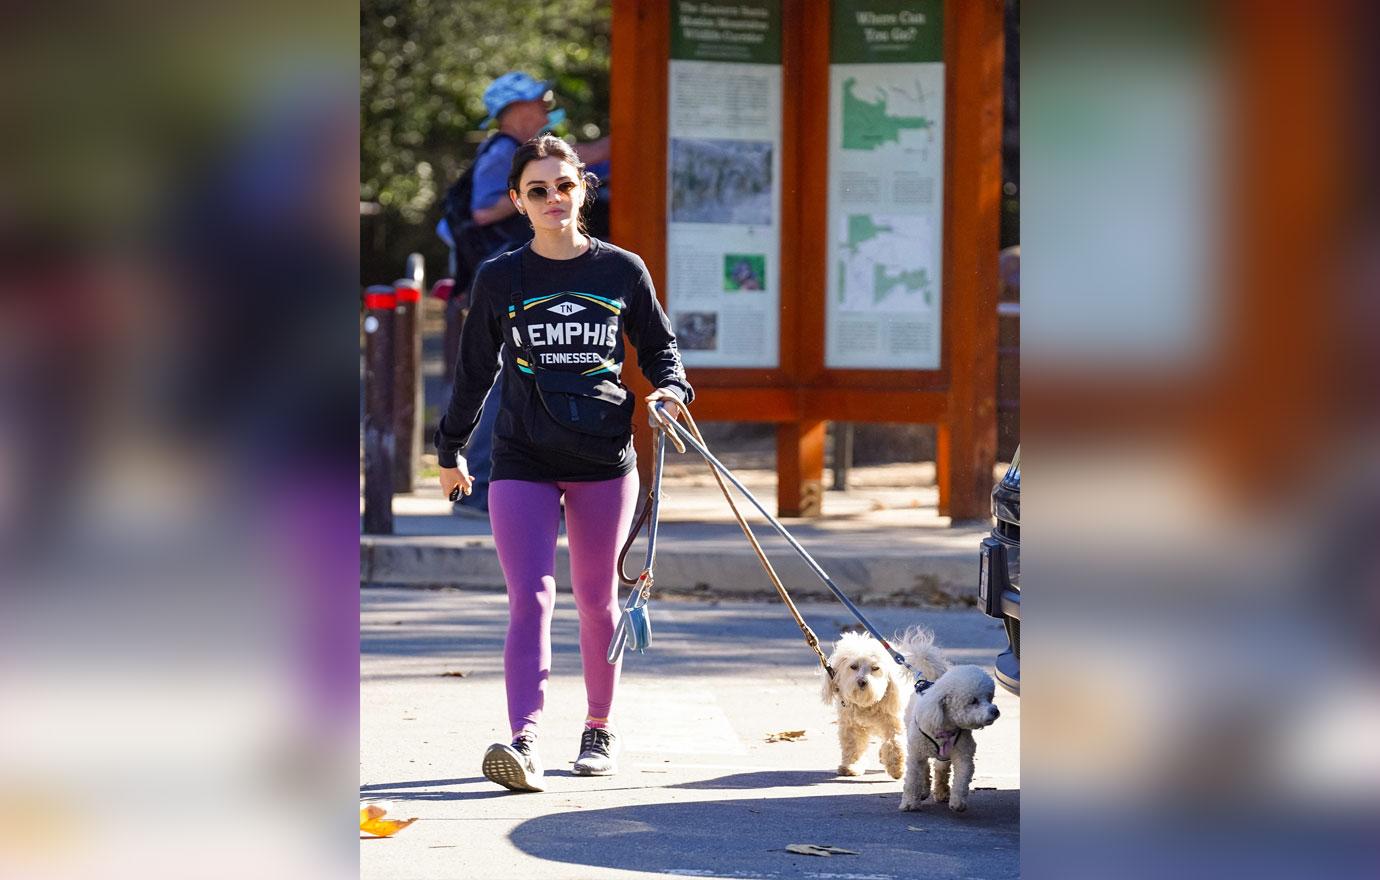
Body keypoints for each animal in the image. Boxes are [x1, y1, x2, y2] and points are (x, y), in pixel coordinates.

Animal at [811, 634, 910, 777]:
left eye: (875, 668)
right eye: (853, 666)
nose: (862, 681)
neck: (866, 704)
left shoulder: (893, 722)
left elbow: (894, 742)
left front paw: (897, 767)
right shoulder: (852, 726)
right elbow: (854, 746)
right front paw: (852, 766)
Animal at [894, 628, 1004, 816]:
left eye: (989, 698)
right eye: (973, 701)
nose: (995, 711)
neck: (945, 725)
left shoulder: (963, 754)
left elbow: (962, 778)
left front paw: (957, 802)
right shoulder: (916, 754)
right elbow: (913, 779)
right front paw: (909, 803)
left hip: (944, 756)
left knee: (941, 769)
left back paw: (942, 791)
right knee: (925, 769)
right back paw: (924, 790)